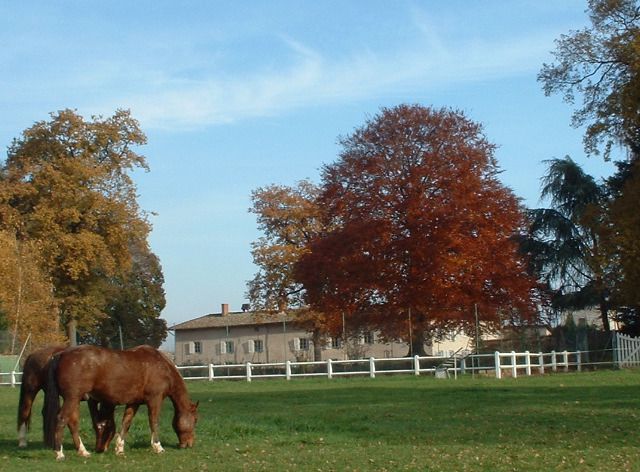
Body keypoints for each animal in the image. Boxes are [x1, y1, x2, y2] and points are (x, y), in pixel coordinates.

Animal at [44, 344, 198, 460]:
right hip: (72, 398)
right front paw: (158, 447)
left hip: (74, 399)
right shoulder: (155, 399)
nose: (189, 444)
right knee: (61, 419)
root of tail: (61, 354)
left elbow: (126, 423)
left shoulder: (134, 403)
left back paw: (83, 451)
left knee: (72, 423)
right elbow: (153, 421)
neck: (162, 366)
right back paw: (59, 453)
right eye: (195, 420)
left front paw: (119, 448)